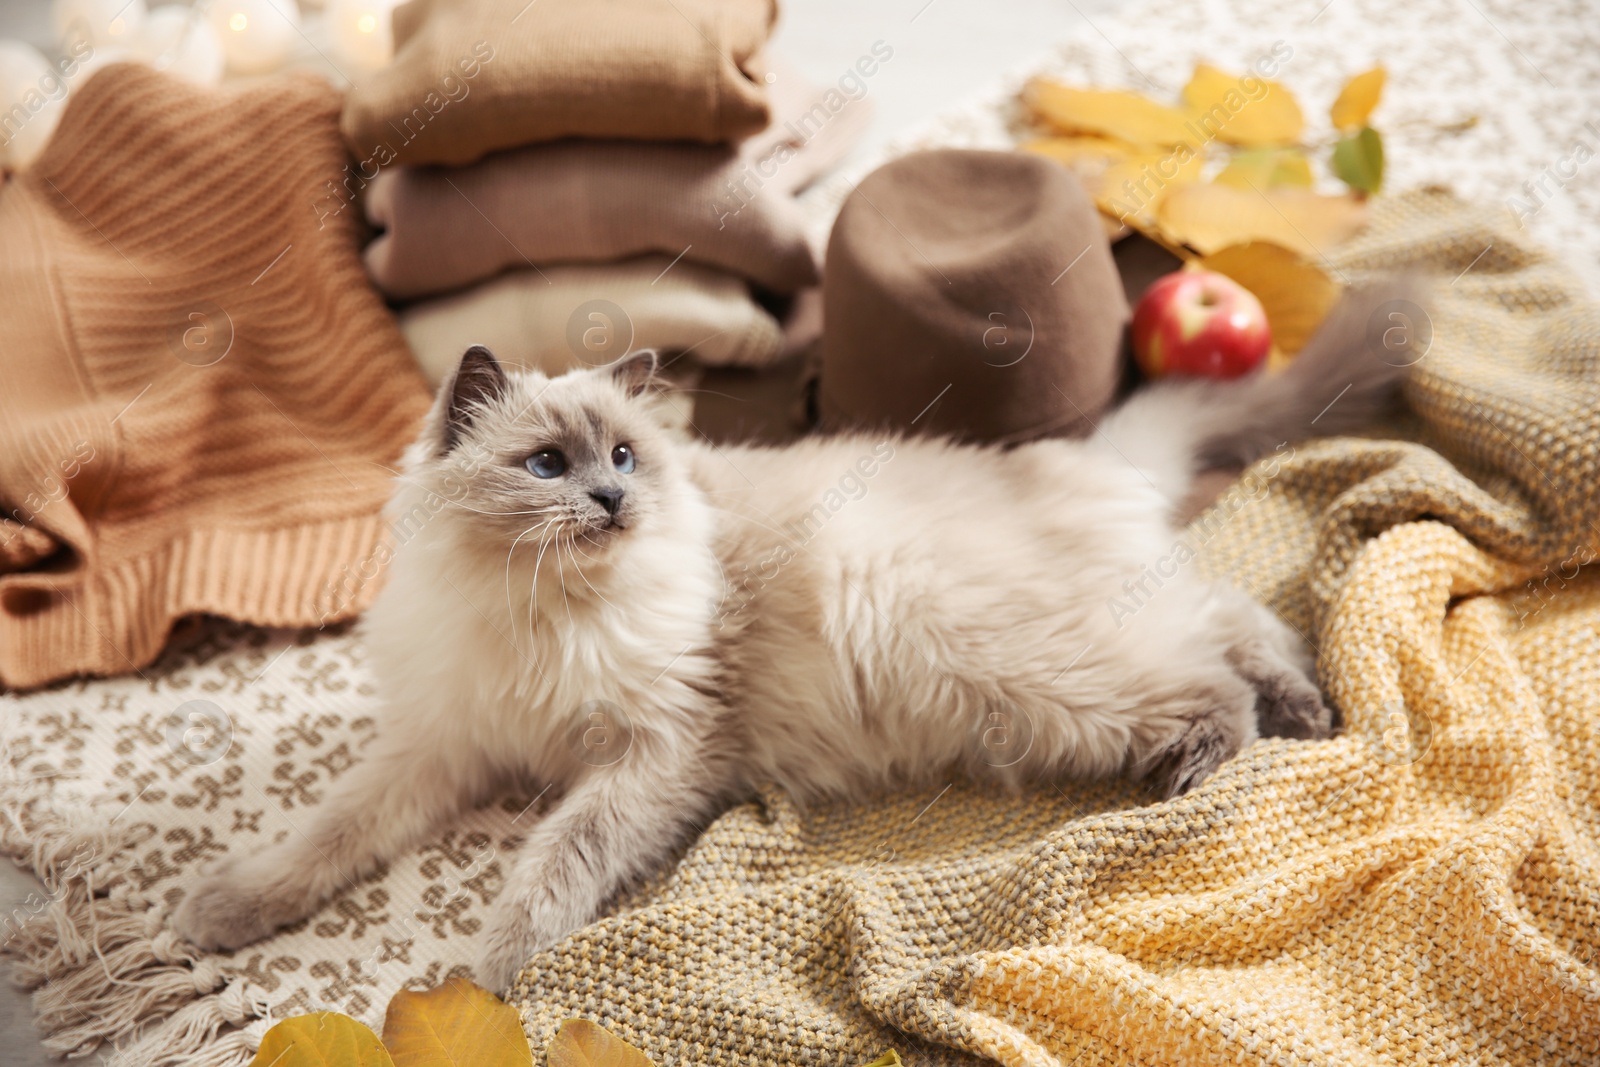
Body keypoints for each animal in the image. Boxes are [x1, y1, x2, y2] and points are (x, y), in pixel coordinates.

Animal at [178, 281, 1414, 985]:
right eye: (545, 465)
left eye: (622, 456)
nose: (611, 503)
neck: (546, 615)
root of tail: (1079, 460)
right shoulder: (443, 744)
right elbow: (327, 834)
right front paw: (222, 913)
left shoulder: (658, 753)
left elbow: (553, 861)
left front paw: (493, 969)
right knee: (1231, 615)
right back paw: (1307, 706)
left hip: (1032, 671)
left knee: (1215, 668)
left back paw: (1215, 764)